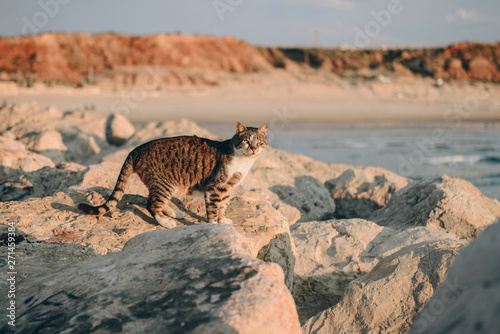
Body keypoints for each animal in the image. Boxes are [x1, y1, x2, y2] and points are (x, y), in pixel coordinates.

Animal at [77, 121, 268, 228]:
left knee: (157, 202)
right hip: (164, 183)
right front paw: (215, 226)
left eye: (259, 142)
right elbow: (213, 209)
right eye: (246, 141)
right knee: (151, 204)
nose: (253, 148)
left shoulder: (227, 189)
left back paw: (174, 213)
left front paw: (223, 220)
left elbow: (223, 206)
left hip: (168, 184)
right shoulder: (214, 187)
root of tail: (136, 148)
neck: (242, 161)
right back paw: (167, 223)